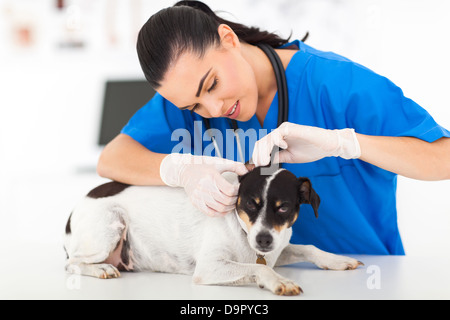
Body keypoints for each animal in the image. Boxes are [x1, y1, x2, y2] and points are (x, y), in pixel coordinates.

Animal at [65, 166, 364, 296]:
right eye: (250, 204)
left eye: (283, 208)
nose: (263, 239)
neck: (242, 231)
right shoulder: (209, 267)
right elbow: (258, 268)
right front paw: (279, 281)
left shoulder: (277, 249)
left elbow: (307, 248)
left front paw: (337, 260)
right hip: (110, 226)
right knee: (72, 264)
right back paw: (101, 269)